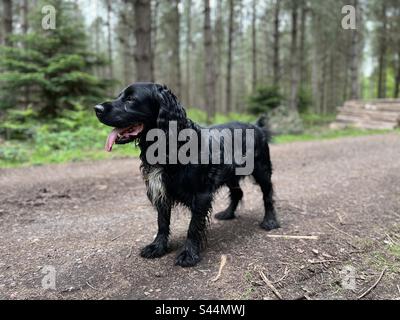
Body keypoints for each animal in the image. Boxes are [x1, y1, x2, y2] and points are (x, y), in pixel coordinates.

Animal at [95, 83, 280, 268]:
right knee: (237, 193)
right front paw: (158, 246)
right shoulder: (162, 192)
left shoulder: (201, 195)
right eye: (119, 96)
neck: (172, 146)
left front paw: (188, 254)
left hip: (262, 171)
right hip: (230, 175)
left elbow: (193, 227)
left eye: (131, 99)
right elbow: (162, 223)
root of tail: (257, 126)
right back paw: (228, 213)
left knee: (267, 195)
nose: (96, 108)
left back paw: (270, 221)